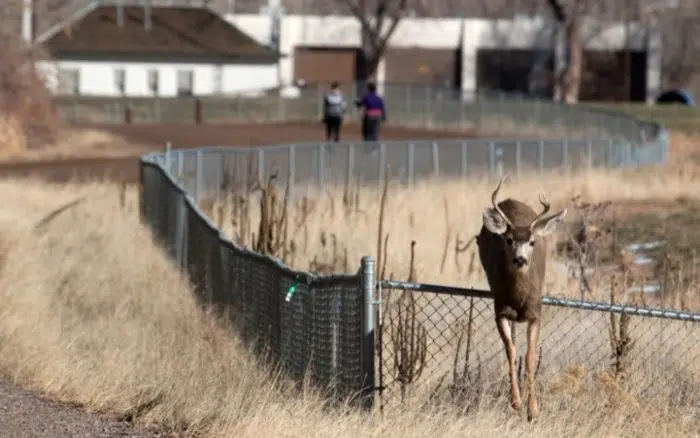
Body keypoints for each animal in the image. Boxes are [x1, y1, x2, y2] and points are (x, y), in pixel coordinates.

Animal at [476, 174, 568, 420]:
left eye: (532, 242)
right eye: (508, 240)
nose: (520, 259)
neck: (519, 299)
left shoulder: (536, 312)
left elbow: (530, 356)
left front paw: (533, 409)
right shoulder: (500, 310)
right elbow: (511, 351)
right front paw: (516, 402)